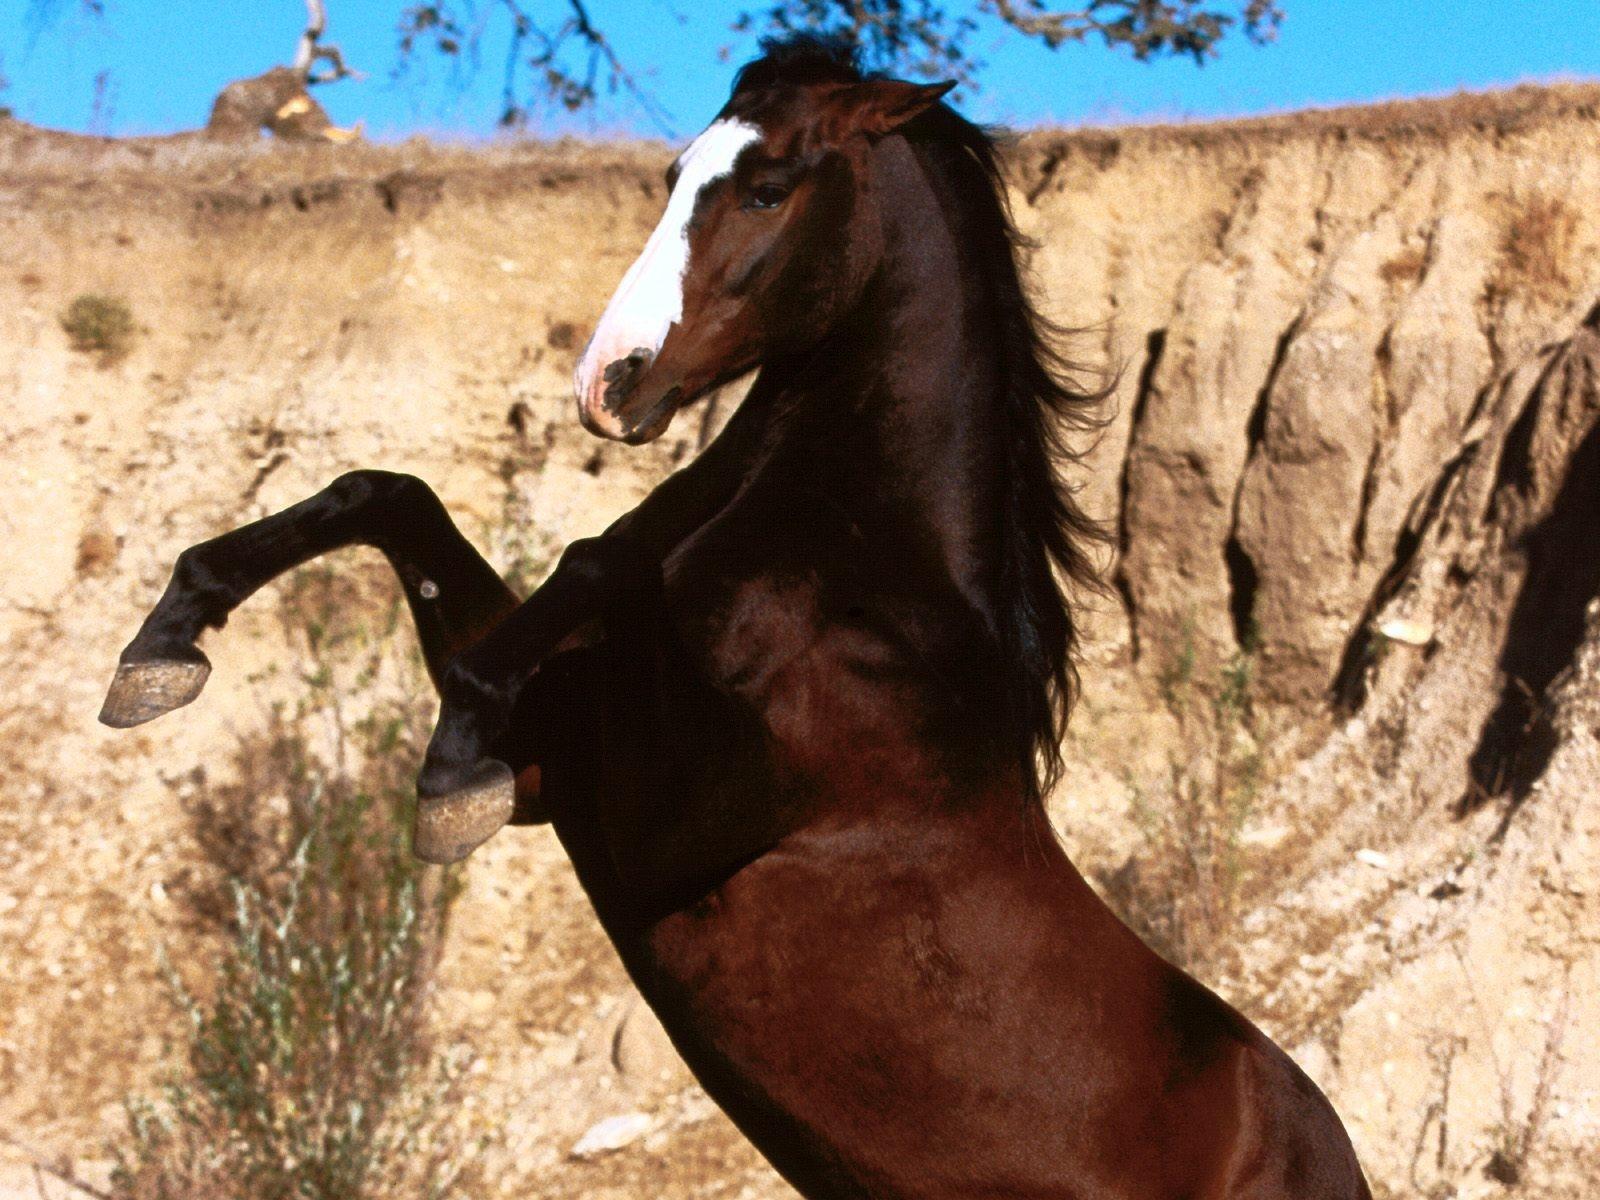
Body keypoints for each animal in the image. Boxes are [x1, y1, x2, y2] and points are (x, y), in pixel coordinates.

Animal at [103, 37, 1376, 1200]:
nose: (607, 384)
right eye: (676, 174)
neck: (869, 593)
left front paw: (441, 772)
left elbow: (596, 560)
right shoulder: (552, 770)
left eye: (769, 187)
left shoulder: (671, 812)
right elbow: (390, 496)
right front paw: (163, 648)